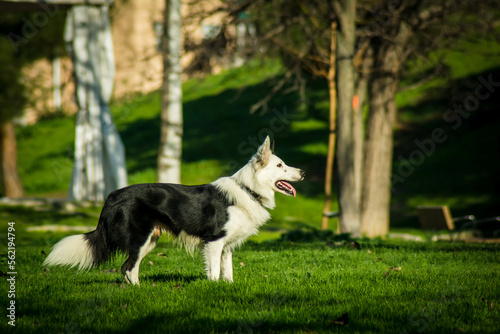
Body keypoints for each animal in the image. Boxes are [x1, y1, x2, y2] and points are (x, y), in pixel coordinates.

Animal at [45, 137, 304, 284]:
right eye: (280, 165)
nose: (302, 172)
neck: (248, 189)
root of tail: (112, 196)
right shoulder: (214, 242)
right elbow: (214, 273)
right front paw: (213, 289)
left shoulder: (227, 247)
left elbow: (227, 273)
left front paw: (228, 289)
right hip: (140, 238)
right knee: (128, 267)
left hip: (149, 240)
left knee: (129, 269)